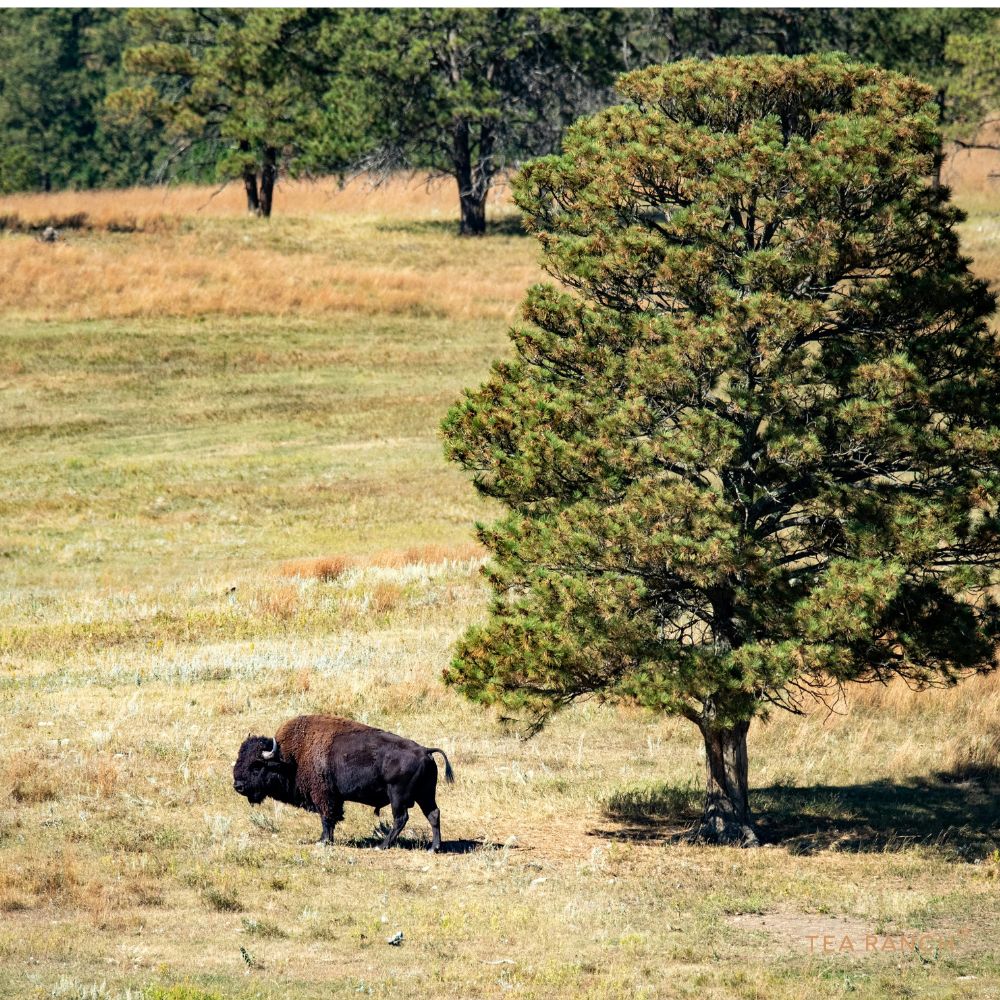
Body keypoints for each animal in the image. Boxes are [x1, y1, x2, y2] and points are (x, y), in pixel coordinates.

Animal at [233, 714, 454, 851]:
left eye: (256, 765)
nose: (238, 786)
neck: (289, 758)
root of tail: (425, 751)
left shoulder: (324, 797)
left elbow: (327, 818)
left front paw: (323, 841)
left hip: (398, 797)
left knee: (401, 818)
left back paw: (382, 846)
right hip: (425, 795)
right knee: (433, 814)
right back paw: (433, 848)